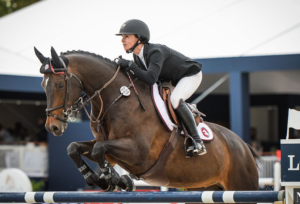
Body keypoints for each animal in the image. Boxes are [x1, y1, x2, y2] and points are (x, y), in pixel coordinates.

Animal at [34, 45, 260, 198]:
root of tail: (244, 146)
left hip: (241, 184)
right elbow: (74, 148)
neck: (117, 98)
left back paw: (197, 145)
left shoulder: (139, 153)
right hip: (205, 186)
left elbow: (99, 150)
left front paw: (115, 180)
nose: (53, 126)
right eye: (43, 85)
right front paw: (101, 180)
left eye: (60, 85)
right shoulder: (112, 152)